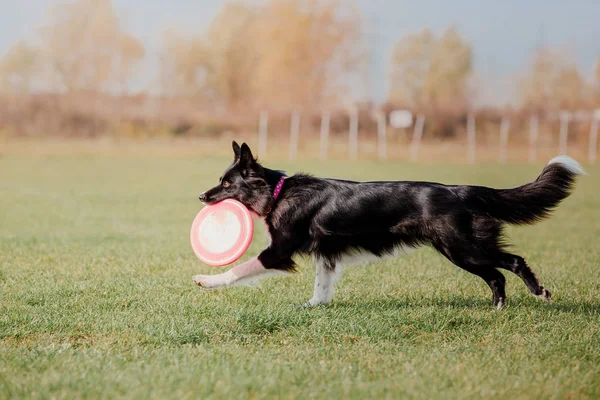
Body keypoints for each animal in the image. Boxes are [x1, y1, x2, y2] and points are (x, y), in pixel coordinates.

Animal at [193, 141, 584, 310]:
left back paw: (538, 292)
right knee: (496, 276)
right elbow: (322, 283)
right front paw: (315, 306)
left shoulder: (278, 250)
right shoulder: (326, 251)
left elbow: (239, 269)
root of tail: (458, 189)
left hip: (462, 248)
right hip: (459, 250)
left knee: (511, 263)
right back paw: (498, 309)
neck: (278, 192)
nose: (200, 195)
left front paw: (207, 281)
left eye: (226, 184)